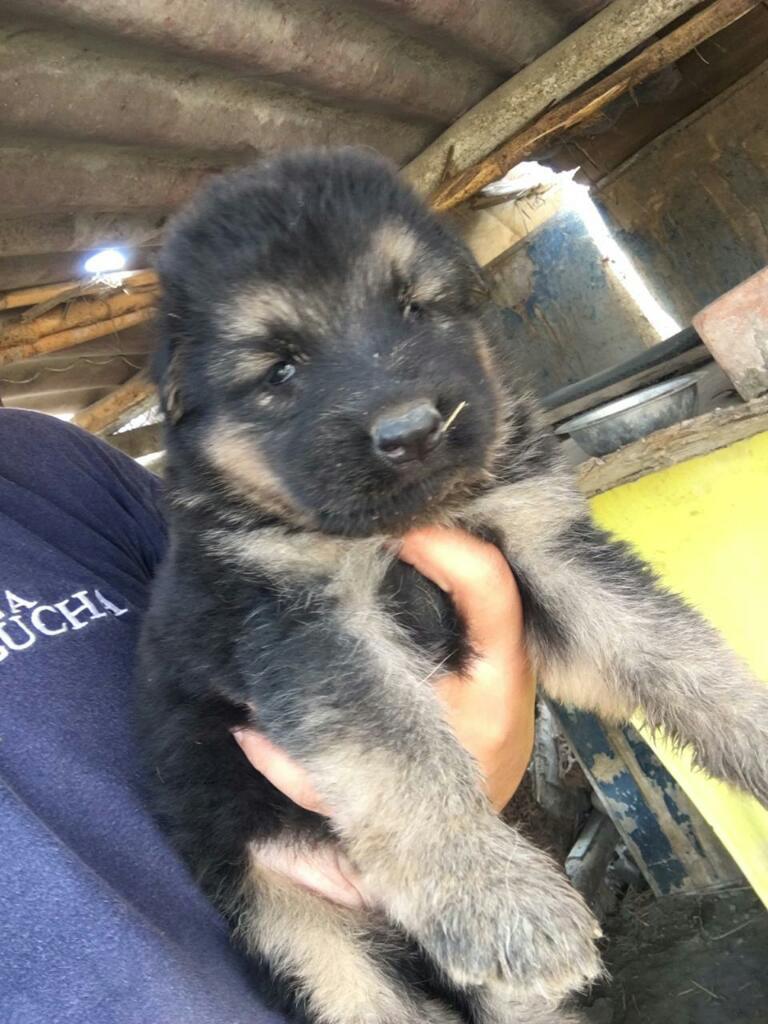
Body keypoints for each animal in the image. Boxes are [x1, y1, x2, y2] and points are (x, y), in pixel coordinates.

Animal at [138, 146, 768, 1024]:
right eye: (282, 368)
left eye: (414, 308)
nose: (411, 432)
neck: (404, 521)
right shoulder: (307, 624)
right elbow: (400, 749)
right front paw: (497, 899)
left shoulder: (541, 543)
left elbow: (674, 646)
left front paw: (760, 735)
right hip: (301, 925)